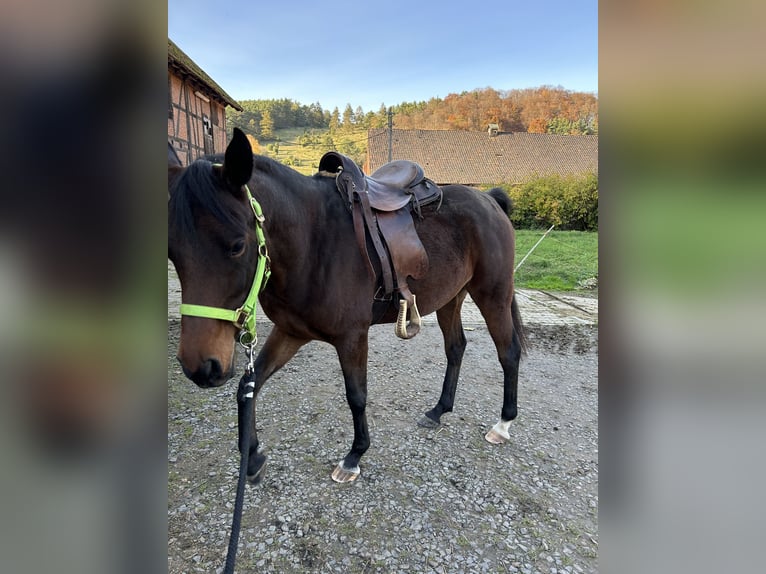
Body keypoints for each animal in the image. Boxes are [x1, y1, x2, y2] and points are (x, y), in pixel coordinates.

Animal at [170, 128, 528, 484]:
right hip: (451, 298)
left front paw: (354, 456)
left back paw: (503, 424)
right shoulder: (290, 332)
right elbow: (249, 385)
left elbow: (356, 396)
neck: (313, 242)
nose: (201, 367)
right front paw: (253, 457)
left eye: (237, 246)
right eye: (173, 254)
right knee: (456, 348)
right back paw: (438, 410)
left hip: (493, 294)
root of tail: (489, 199)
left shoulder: (352, 337)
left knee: (508, 352)